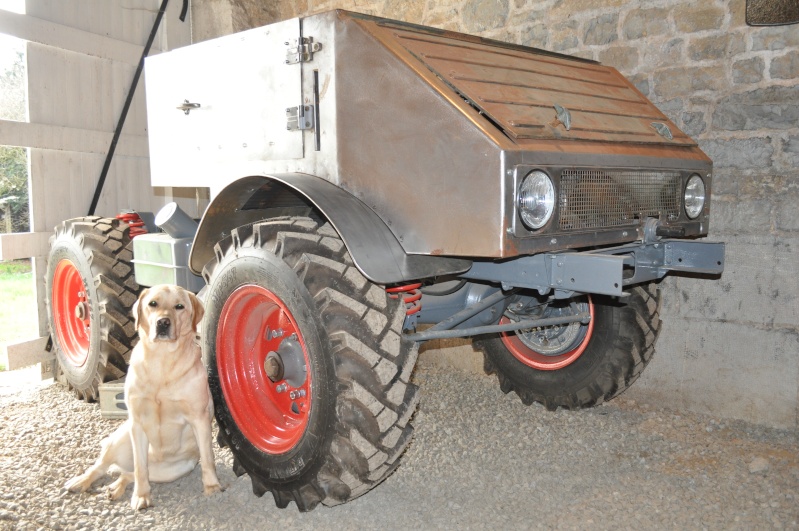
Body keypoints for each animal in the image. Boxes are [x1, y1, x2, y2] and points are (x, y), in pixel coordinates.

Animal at [64, 284, 222, 510]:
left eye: (179, 306)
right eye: (153, 303)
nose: (163, 322)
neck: (162, 361)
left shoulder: (199, 420)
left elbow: (208, 459)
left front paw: (212, 487)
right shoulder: (137, 423)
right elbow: (140, 467)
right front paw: (141, 496)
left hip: (174, 470)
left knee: (127, 474)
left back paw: (115, 488)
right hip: (120, 440)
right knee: (105, 466)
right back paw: (82, 481)